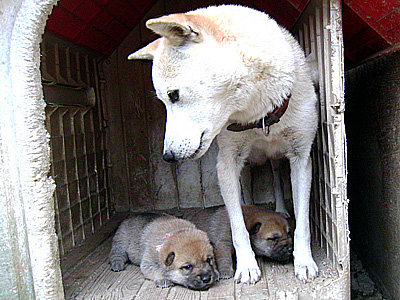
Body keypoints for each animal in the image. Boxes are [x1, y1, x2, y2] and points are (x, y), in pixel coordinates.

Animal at [130, 4, 318, 284]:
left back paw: (281, 208)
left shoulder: (301, 158)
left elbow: (302, 222)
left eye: (173, 95)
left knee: (275, 177)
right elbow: (238, 227)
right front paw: (247, 266)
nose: (168, 156)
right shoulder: (228, 164)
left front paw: (304, 261)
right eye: (164, 100)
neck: (258, 117)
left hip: (276, 160)